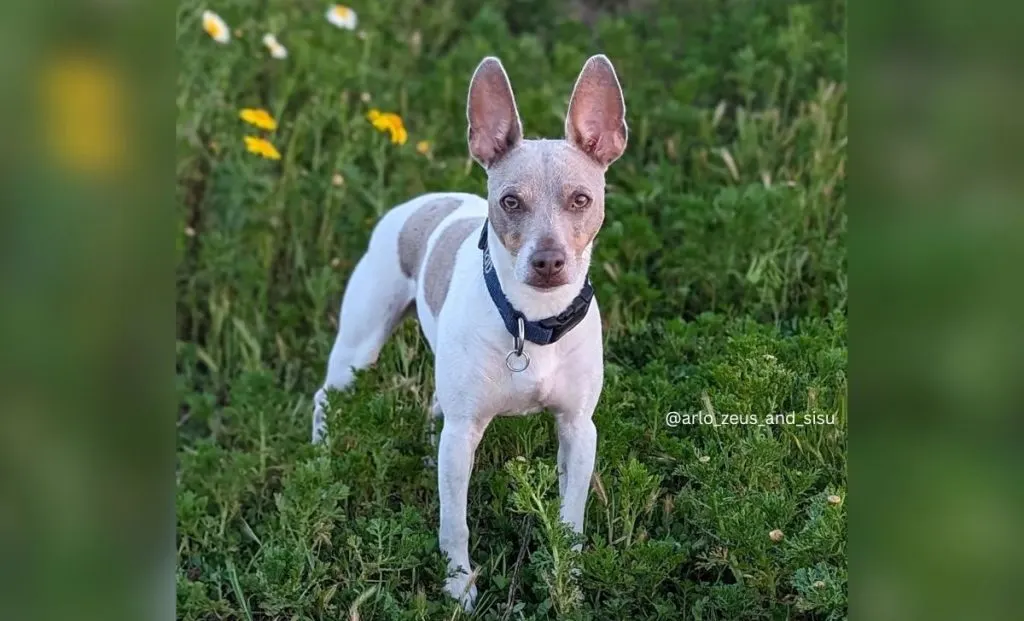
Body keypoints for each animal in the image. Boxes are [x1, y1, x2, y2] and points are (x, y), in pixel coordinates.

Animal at [311, 55, 626, 610]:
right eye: (511, 202)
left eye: (581, 199)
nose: (548, 261)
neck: (530, 321)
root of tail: (425, 200)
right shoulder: (462, 437)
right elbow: (453, 522)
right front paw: (458, 587)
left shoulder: (578, 430)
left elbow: (570, 520)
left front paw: (567, 586)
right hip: (358, 349)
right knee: (324, 395)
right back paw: (319, 455)